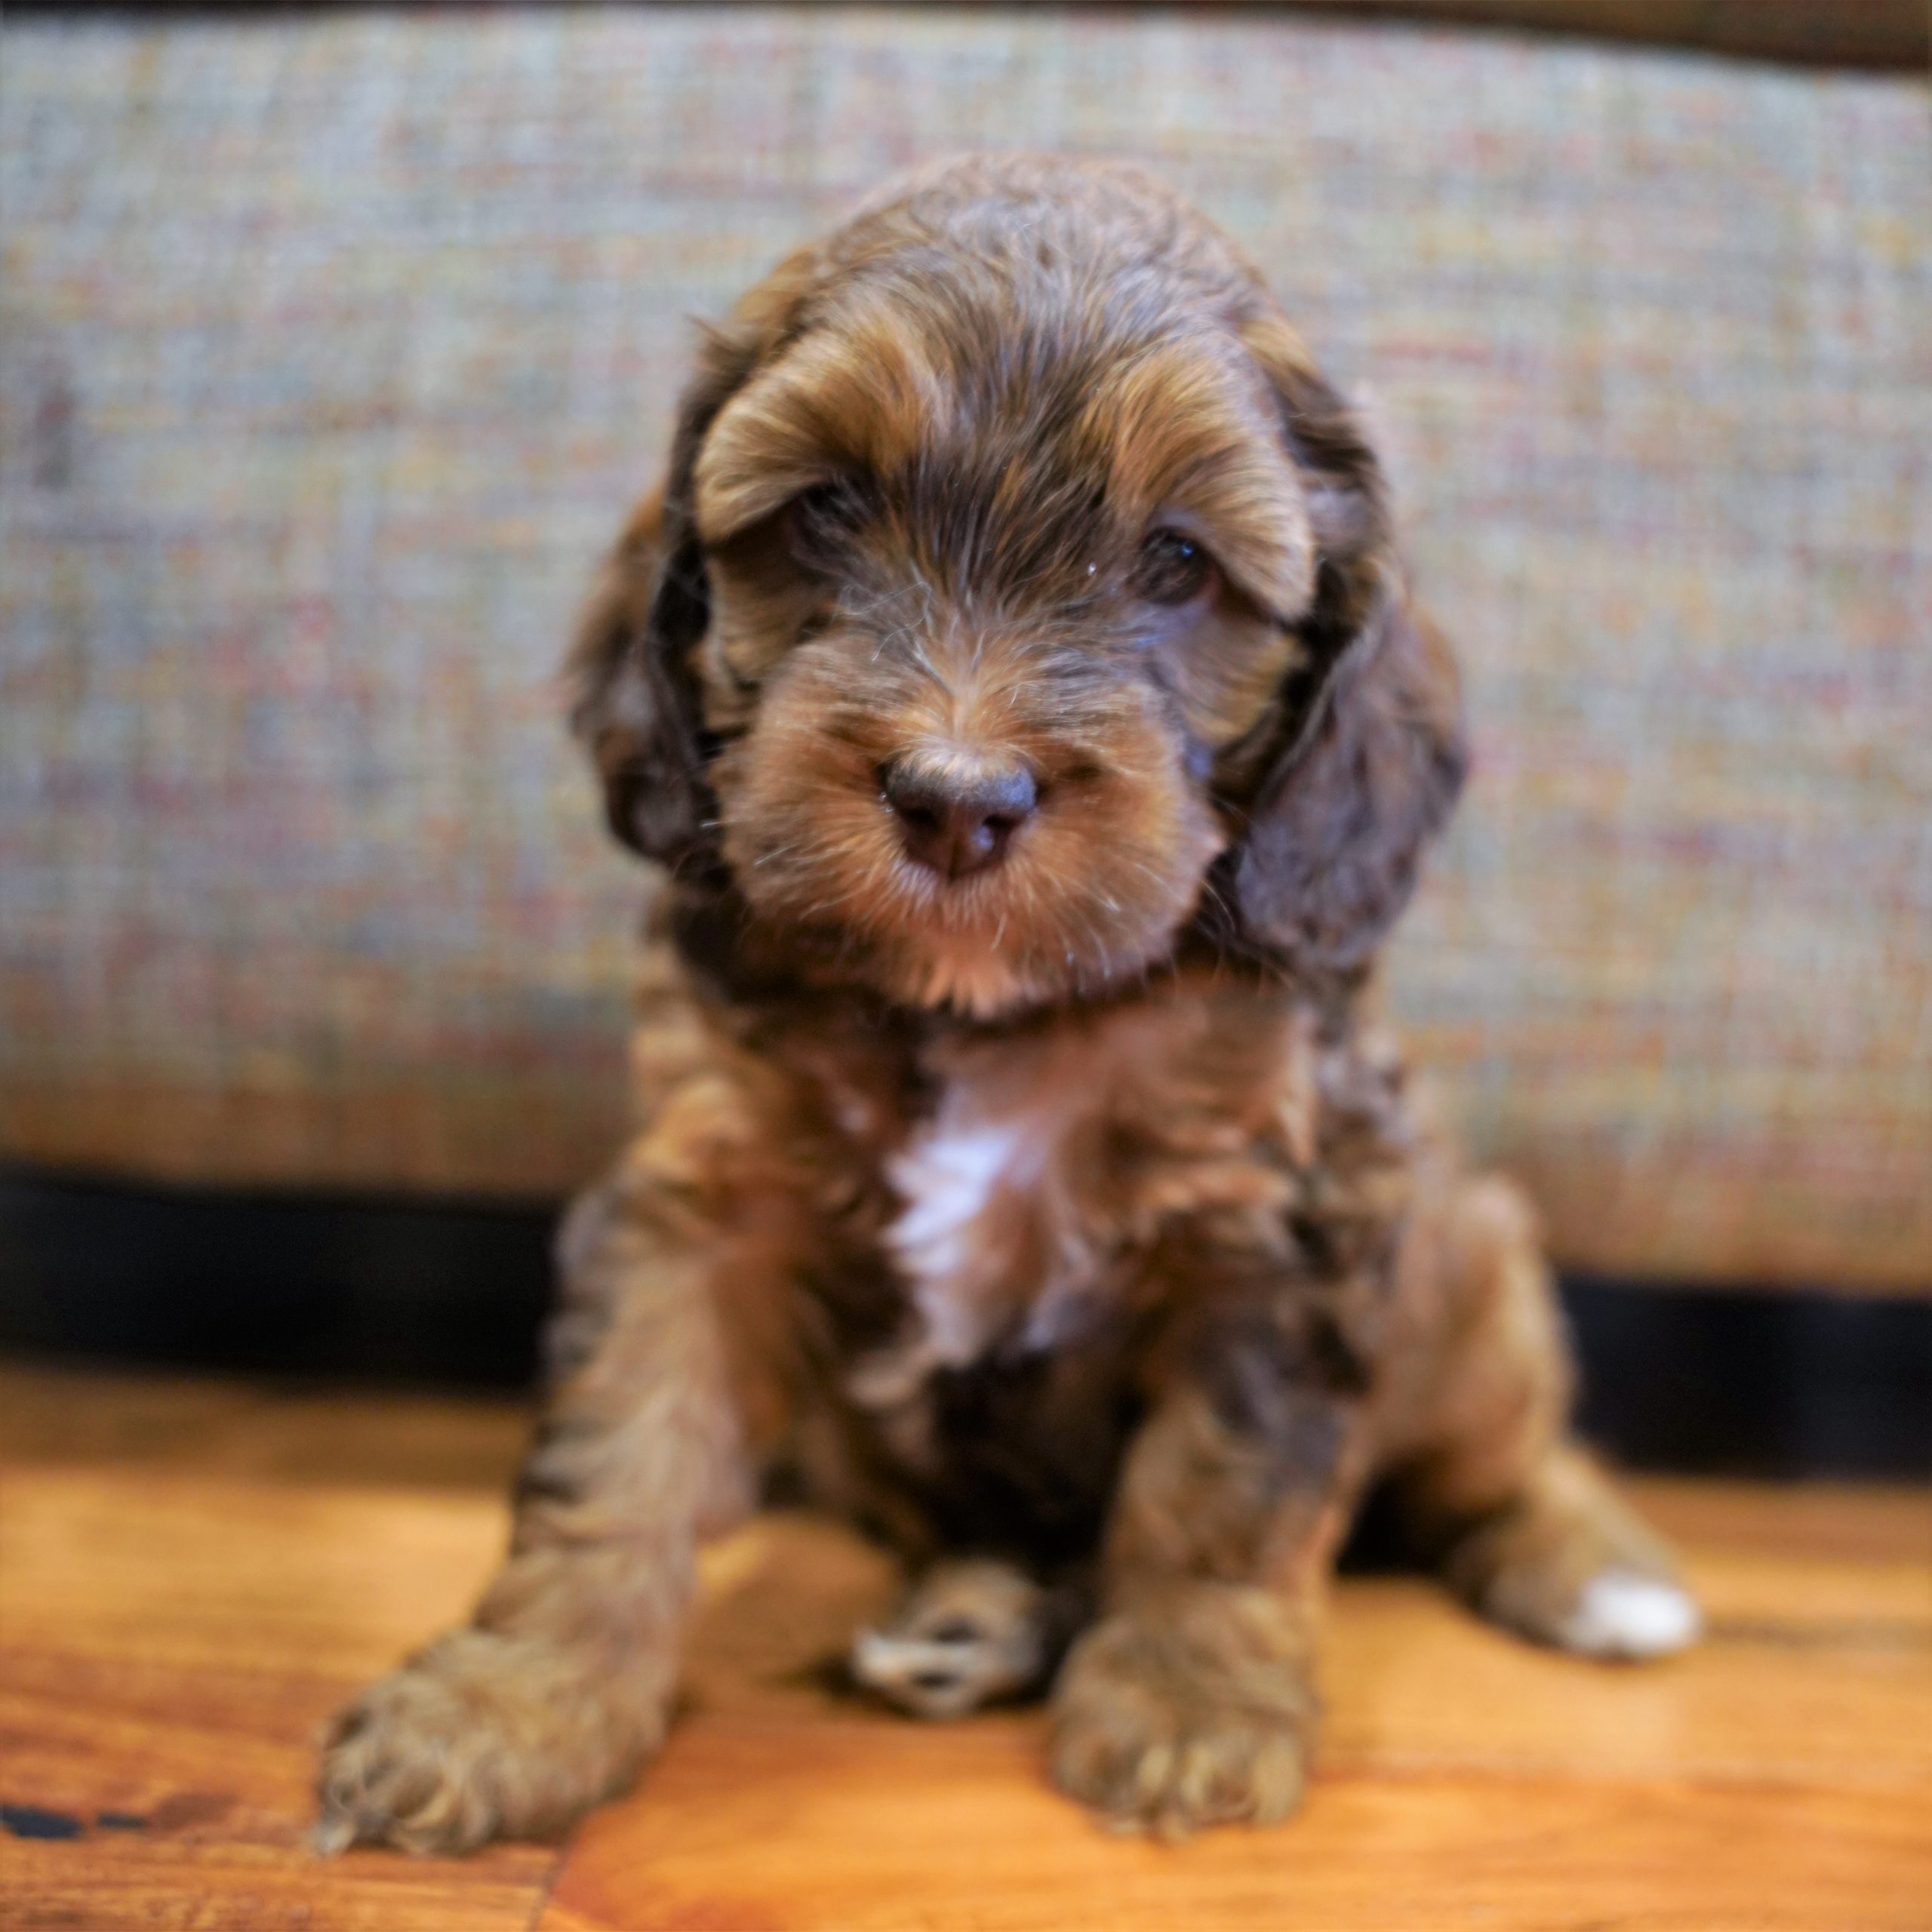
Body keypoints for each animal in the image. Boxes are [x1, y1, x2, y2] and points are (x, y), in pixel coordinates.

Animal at [315, 154, 1698, 1854]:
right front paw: (509, 1708)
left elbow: (1217, 1491)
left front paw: (1182, 1710)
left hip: (1471, 1265)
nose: (956, 798)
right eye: (825, 509)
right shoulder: (708, 1202)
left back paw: (1594, 1568)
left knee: (1504, 1446)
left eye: (1176, 560)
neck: (992, 1011)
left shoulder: (1271, 1229)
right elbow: (618, 1449)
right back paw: (976, 1611)